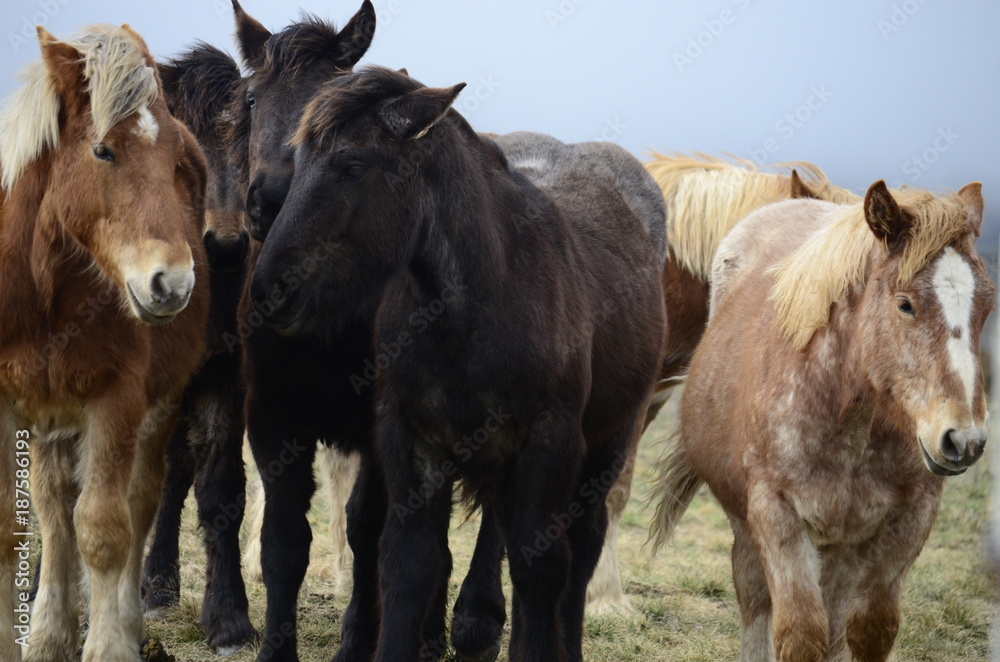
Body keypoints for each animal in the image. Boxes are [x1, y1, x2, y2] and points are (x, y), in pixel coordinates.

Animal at [0, 24, 209, 662]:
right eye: (102, 151)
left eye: (174, 162)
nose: (173, 284)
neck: (44, 294)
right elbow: (16, 526)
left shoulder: (116, 402)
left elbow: (105, 531)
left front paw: (110, 642)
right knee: (52, 509)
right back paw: (49, 634)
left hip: (155, 411)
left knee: (137, 506)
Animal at [262, 65, 665, 662]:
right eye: (299, 160)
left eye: (353, 166)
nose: (270, 291)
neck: (477, 309)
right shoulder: (413, 441)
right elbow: (408, 562)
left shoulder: (550, 441)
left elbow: (541, 567)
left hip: (608, 443)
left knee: (582, 549)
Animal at [651, 181, 992, 662]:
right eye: (905, 304)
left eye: (986, 303)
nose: (963, 440)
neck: (849, 421)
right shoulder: (776, 514)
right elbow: (800, 633)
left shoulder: (911, 520)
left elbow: (868, 629)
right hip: (749, 522)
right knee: (753, 593)